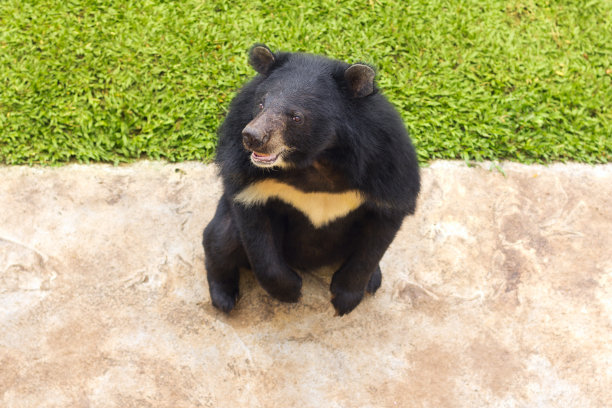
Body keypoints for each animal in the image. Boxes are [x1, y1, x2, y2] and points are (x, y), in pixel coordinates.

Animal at [203, 43, 418, 316]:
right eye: (261, 104)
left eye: (296, 117)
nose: (252, 137)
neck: (317, 159)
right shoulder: (245, 173)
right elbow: (257, 237)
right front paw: (292, 290)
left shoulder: (387, 168)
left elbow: (377, 238)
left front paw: (345, 299)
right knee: (219, 239)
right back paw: (224, 298)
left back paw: (373, 280)